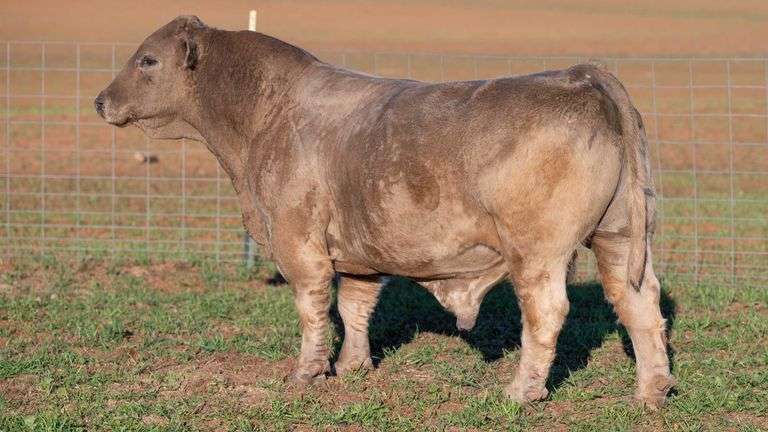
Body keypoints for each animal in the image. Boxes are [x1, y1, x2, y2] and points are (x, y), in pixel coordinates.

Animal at [95, 16, 675, 407]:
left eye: (147, 60)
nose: (101, 101)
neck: (265, 113)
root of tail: (580, 74)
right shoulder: (358, 252)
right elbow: (355, 307)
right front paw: (352, 366)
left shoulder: (297, 241)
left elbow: (313, 307)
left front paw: (307, 373)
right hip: (621, 237)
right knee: (641, 306)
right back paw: (653, 389)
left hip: (538, 253)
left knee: (548, 312)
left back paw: (521, 391)